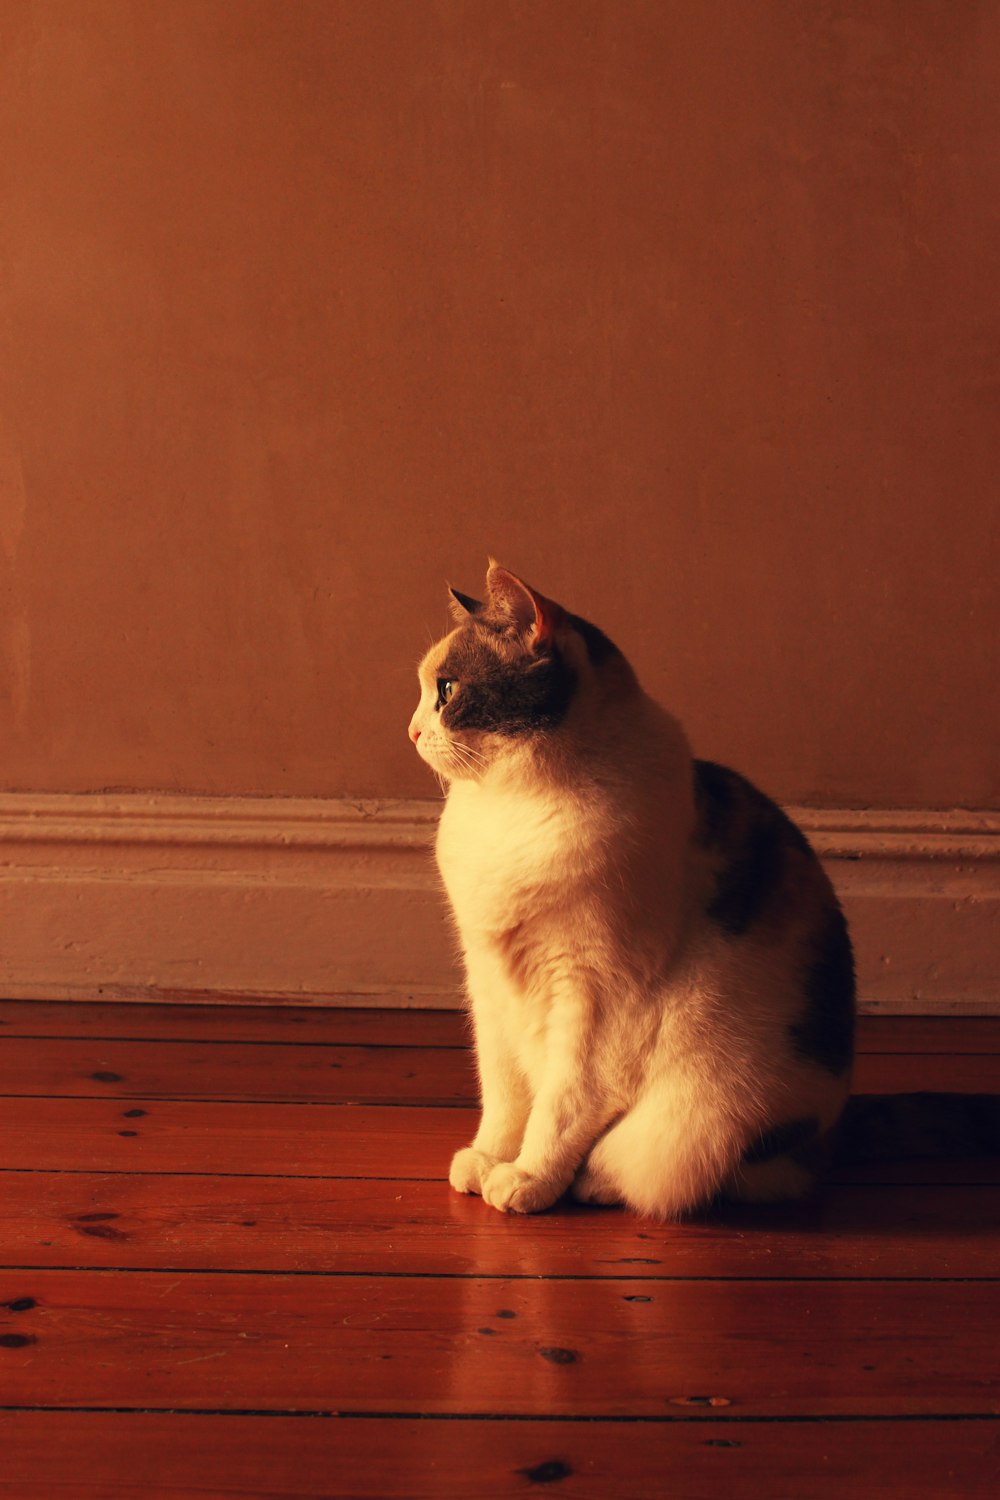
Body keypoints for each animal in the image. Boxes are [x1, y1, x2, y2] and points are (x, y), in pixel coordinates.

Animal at [410, 564, 995, 1218]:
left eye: (446, 690)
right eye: (426, 690)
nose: (411, 730)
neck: (510, 810)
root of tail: (835, 1126)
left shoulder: (592, 994)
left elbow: (560, 1106)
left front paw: (528, 1179)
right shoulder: (489, 982)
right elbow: (505, 1092)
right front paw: (489, 1159)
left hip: (697, 1119)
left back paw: (591, 1182)